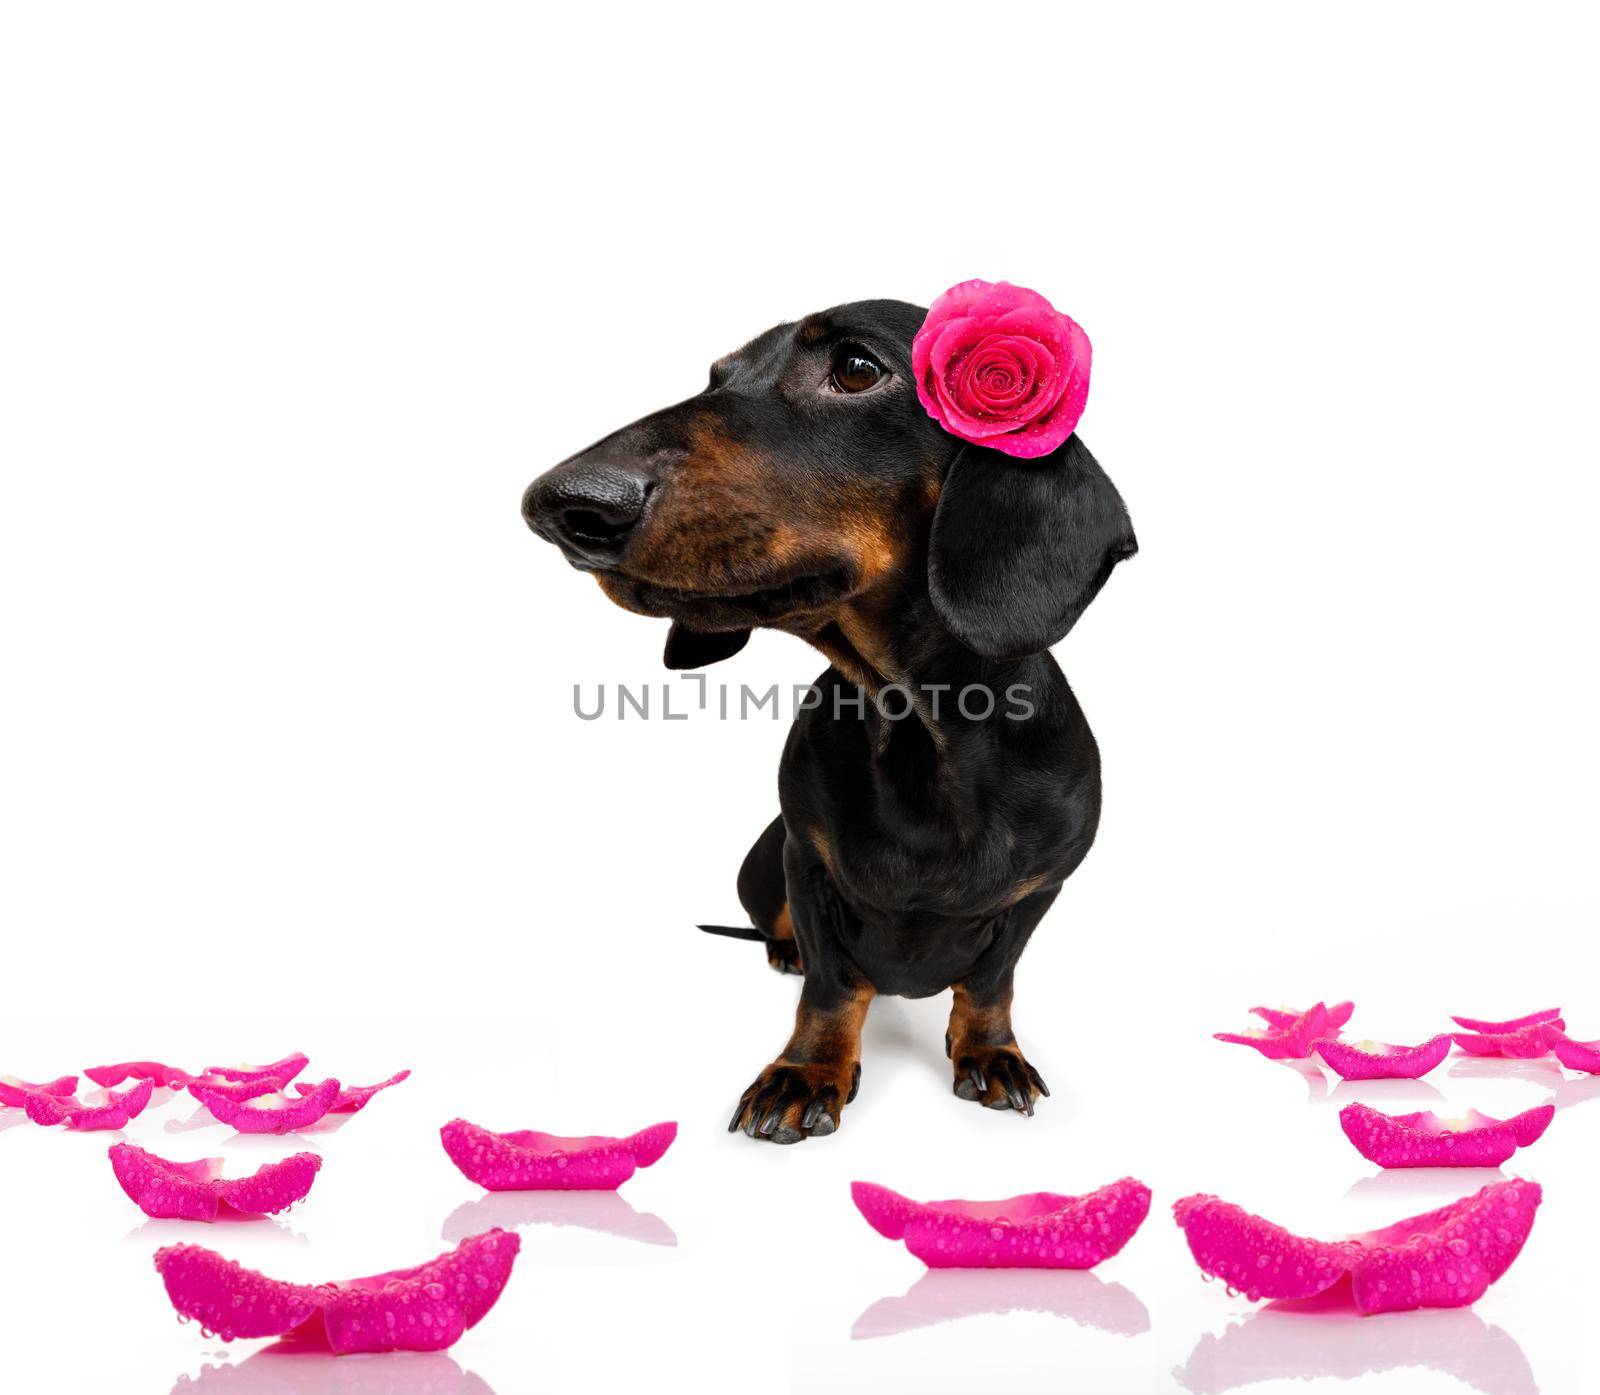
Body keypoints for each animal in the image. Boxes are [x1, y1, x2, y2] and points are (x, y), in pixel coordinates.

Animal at [518, 299, 1132, 1139]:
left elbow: (991, 980)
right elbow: (835, 986)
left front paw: (990, 1052)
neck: (919, 736)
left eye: (857, 368)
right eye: (715, 375)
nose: (560, 504)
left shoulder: (1040, 890)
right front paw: (806, 1073)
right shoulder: (805, 865)